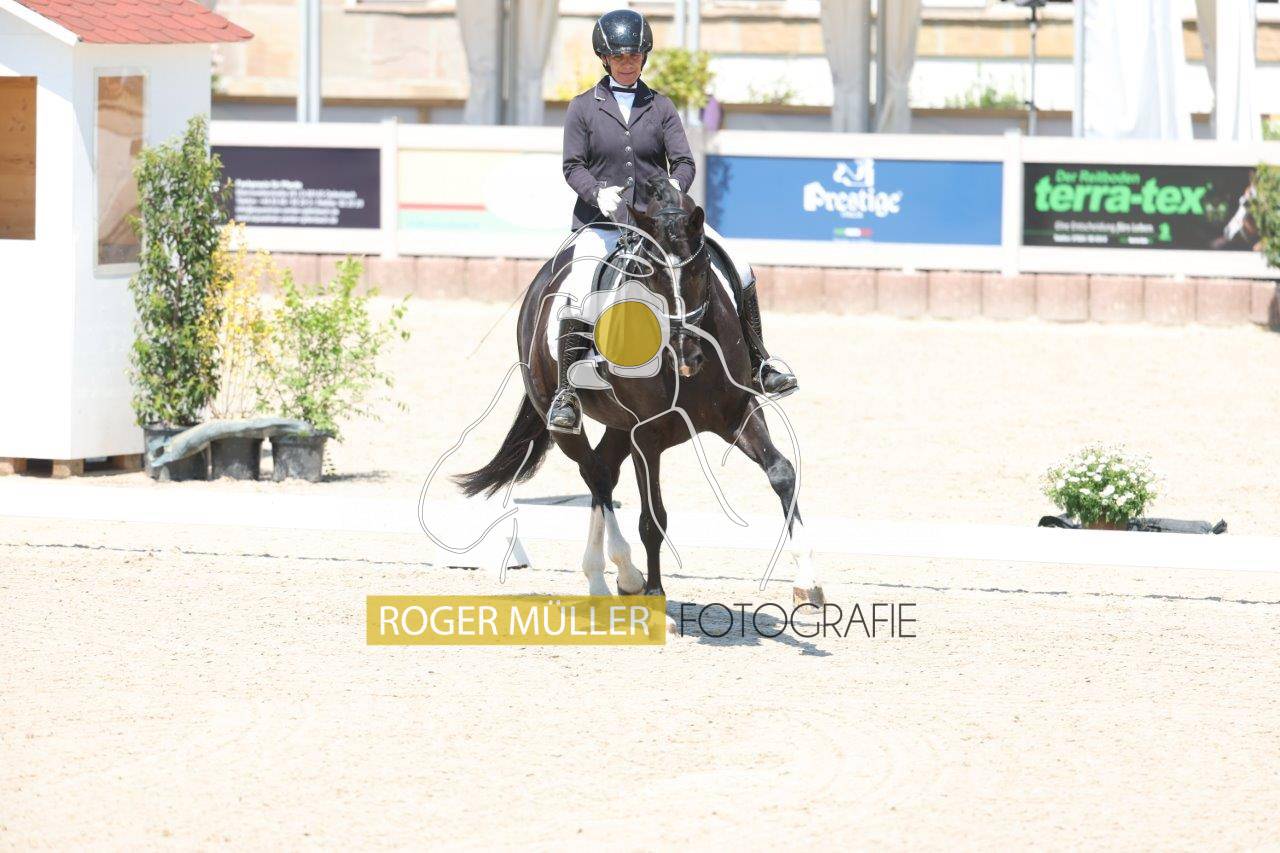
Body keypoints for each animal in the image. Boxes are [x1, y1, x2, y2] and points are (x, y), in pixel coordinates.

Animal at [455, 176, 823, 608]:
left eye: (700, 271)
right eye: (652, 277)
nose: (687, 355)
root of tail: (540, 284)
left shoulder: (739, 412)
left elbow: (781, 472)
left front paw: (808, 580)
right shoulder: (646, 435)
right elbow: (653, 518)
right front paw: (654, 593)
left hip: (618, 426)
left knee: (603, 472)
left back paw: (604, 576)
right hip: (564, 419)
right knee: (595, 474)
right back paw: (623, 573)